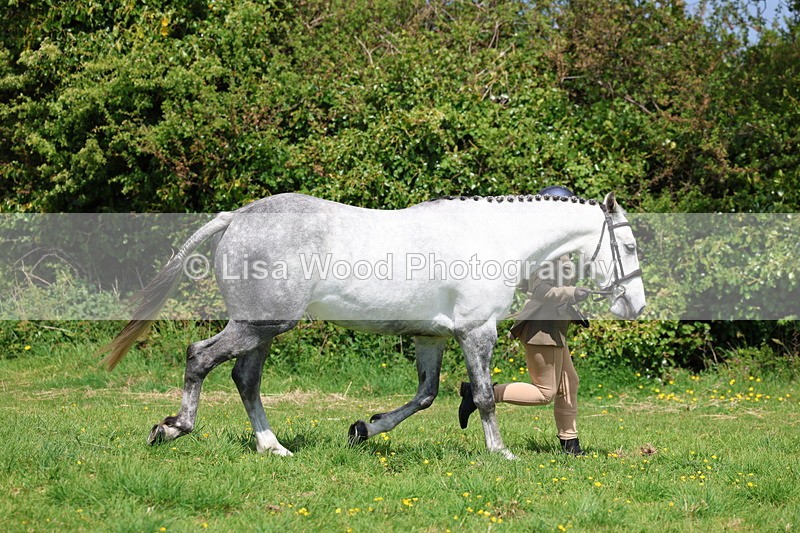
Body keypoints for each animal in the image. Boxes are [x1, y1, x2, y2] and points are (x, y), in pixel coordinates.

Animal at [98, 192, 645, 460]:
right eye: (630, 246)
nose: (634, 307)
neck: (493, 238)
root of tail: (236, 217)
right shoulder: (476, 332)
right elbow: (486, 396)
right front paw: (500, 452)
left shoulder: (431, 338)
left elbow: (425, 396)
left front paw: (364, 429)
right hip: (260, 324)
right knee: (201, 357)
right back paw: (172, 429)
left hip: (263, 329)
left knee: (244, 379)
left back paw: (273, 447)